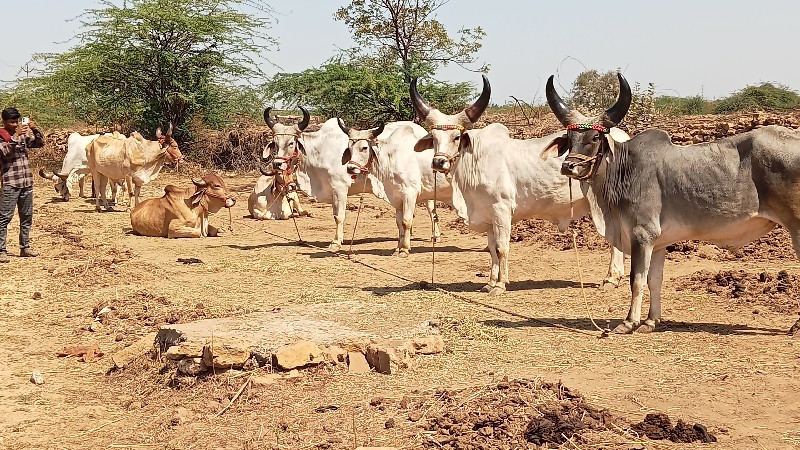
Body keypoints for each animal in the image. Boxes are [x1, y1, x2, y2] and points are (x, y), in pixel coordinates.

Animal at [410, 75, 628, 296]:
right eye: (434, 138)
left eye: (456, 137)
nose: (439, 162)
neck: (475, 160)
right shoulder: (489, 215)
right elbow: (492, 249)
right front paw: (490, 282)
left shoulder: (502, 210)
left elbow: (501, 248)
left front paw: (500, 285)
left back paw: (611, 278)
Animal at [548, 73, 800, 334]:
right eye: (570, 137)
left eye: (595, 137)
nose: (569, 166)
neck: (625, 168)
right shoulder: (658, 242)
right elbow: (654, 280)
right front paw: (650, 321)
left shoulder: (642, 234)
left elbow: (636, 280)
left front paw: (629, 322)